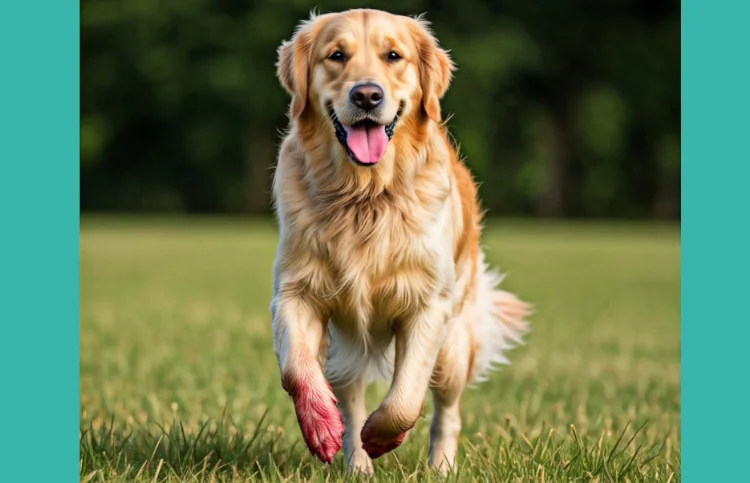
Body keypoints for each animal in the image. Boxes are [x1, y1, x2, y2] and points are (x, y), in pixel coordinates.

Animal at [268, 8, 528, 476]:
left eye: (394, 56)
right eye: (337, 55)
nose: (367, 95)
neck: (366, 196)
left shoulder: (429, 305)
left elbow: (405, 396)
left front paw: (384, 435)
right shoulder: (295, 293)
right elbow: (296, 369)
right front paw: (320, 425)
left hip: (454, 346)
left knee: (447, 410)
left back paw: (441, 468)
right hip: (345, 350)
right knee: (351, 401)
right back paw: (356, 465)